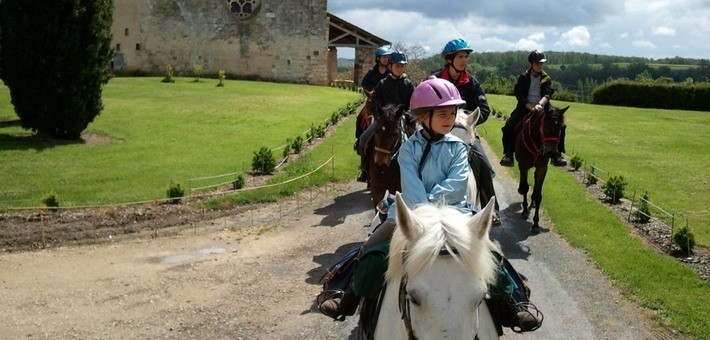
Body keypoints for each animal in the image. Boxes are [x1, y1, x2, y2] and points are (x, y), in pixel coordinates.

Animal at [516, 102, 572, 232]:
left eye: (561, 128)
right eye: (546, 126)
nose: (551, 152)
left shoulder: (542, 168)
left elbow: (538, 195)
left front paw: (536, 222)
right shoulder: (523, 165)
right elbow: (525, 187)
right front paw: (524, 210)